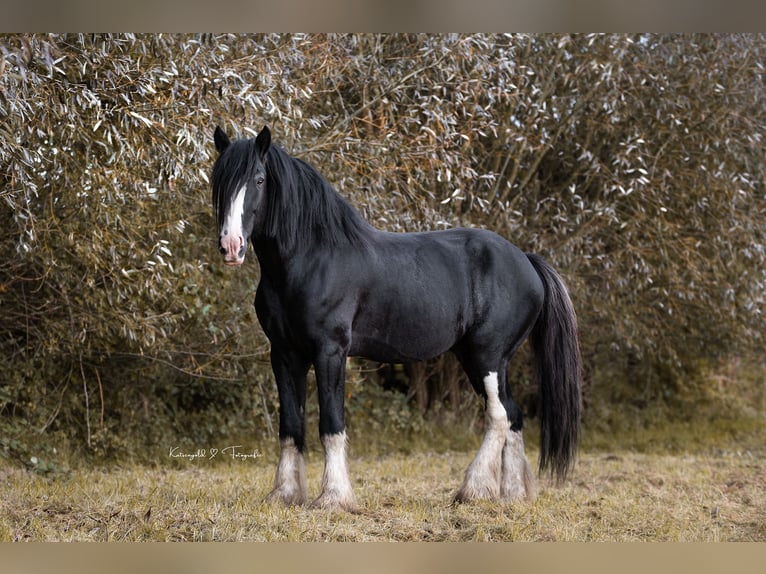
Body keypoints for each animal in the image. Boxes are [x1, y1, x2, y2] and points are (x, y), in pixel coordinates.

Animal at [211, 125, 582, 510]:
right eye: (218, 180)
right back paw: (511, 495)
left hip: (487, 356)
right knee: (513, 415)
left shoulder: (330, 351)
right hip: (486, 359)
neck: (313, 258)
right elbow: (290, 425)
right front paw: (284, 494)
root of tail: (526, 260)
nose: (231, 246)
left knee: (498, 416)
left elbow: (331, 423)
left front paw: (334, 498)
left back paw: (473, 489)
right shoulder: (284, 353)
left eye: (258, 179)